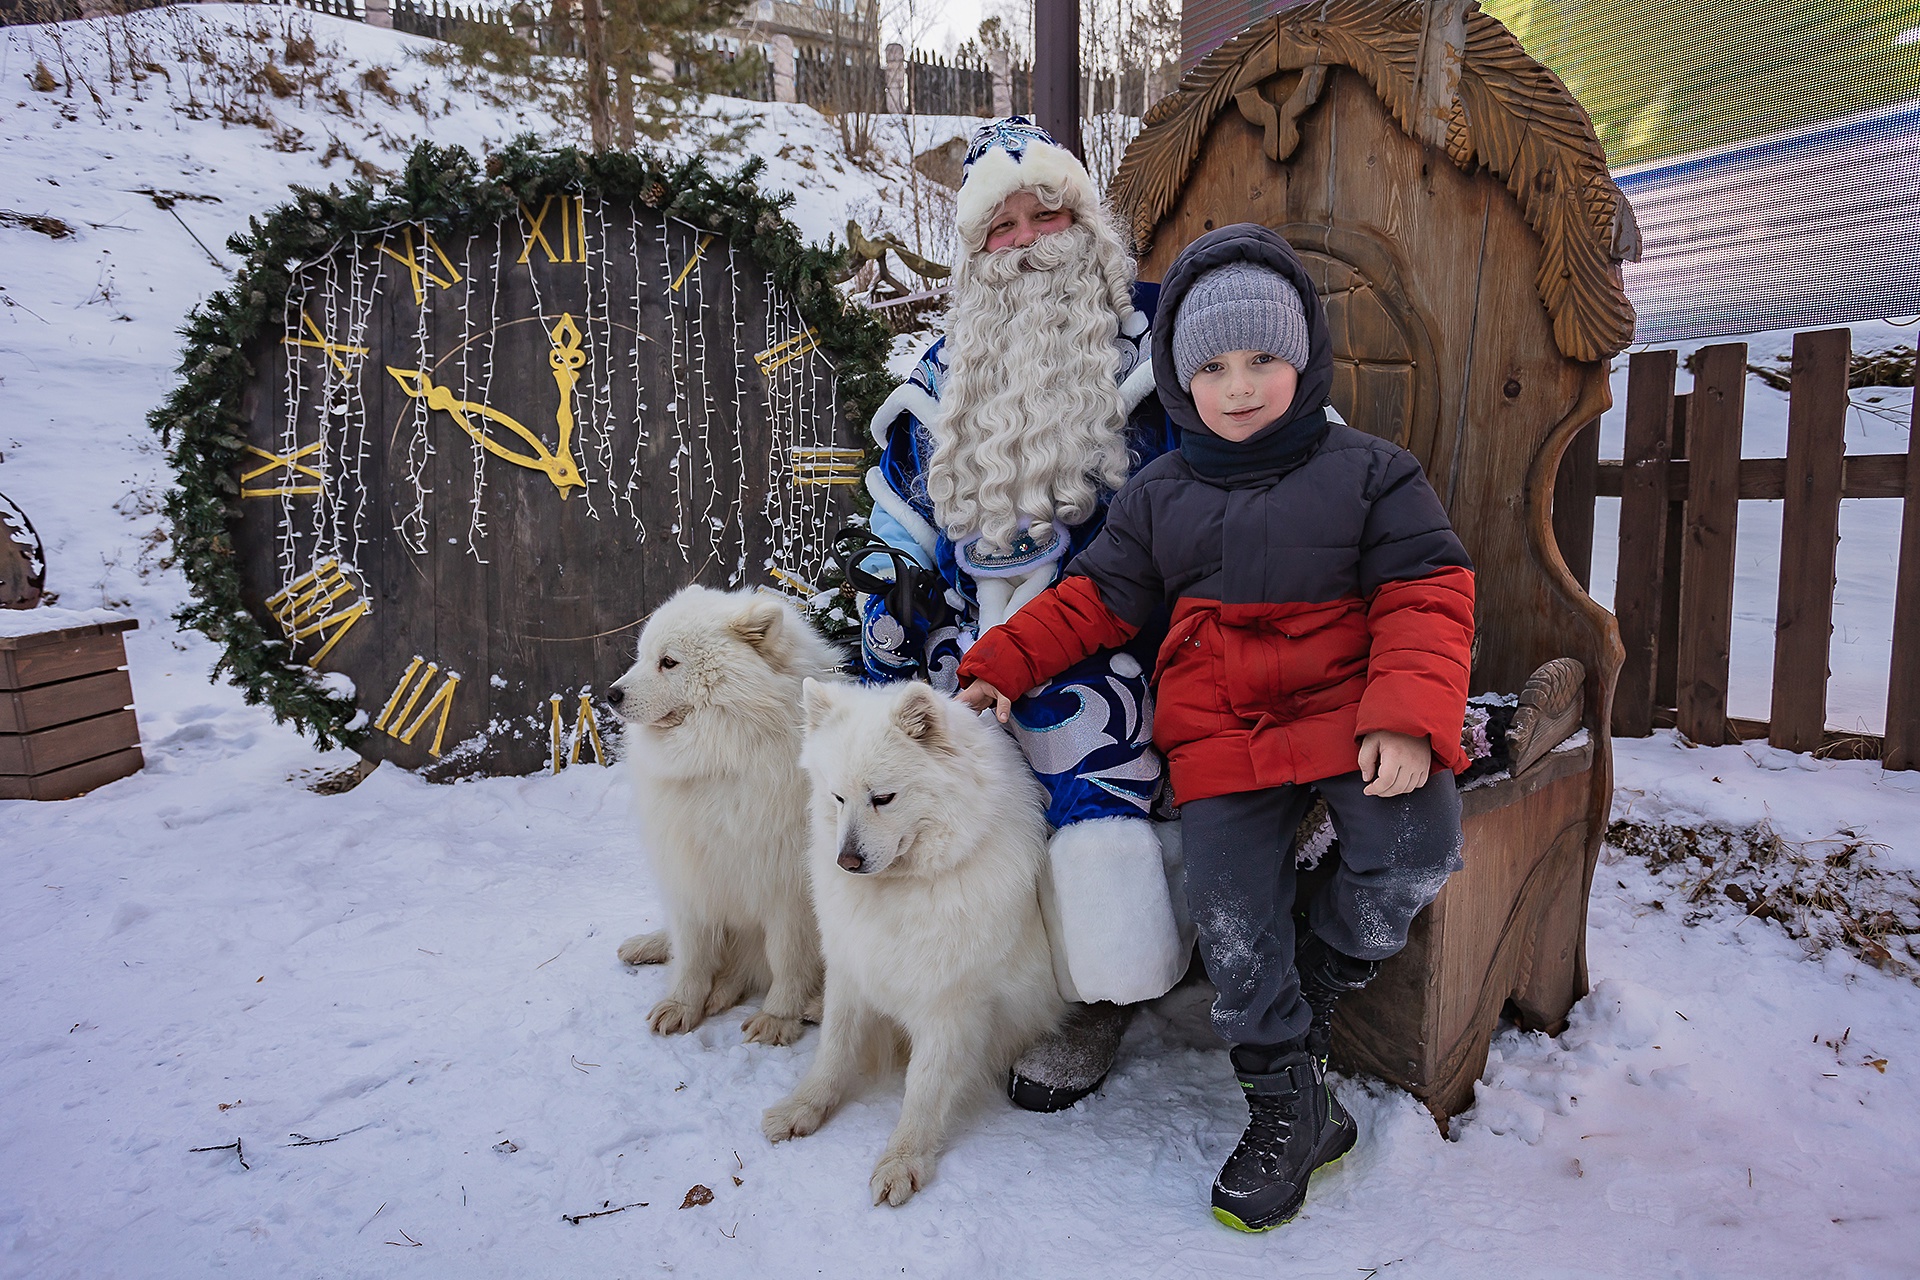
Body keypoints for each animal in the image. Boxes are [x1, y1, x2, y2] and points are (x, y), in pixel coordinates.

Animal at [602, 587, 837, 1043]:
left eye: (668, 661)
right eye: (641, 655)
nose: (612, 694)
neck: (722, 762)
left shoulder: (788, 891)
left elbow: (787, 960)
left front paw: (778, 1017)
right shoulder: (691, 875)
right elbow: (692, 954)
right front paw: (682, 1005)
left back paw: (813, 1006)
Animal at [760, 687, 1067, 1205]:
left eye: (883, 798)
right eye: (837, 797)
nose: (846, 862)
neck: (904, 889)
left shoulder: (950, 1005)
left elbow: (923, 1088)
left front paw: (902, 1160)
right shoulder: (851, 969)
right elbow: (833, 1052)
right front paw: (803, 1107)